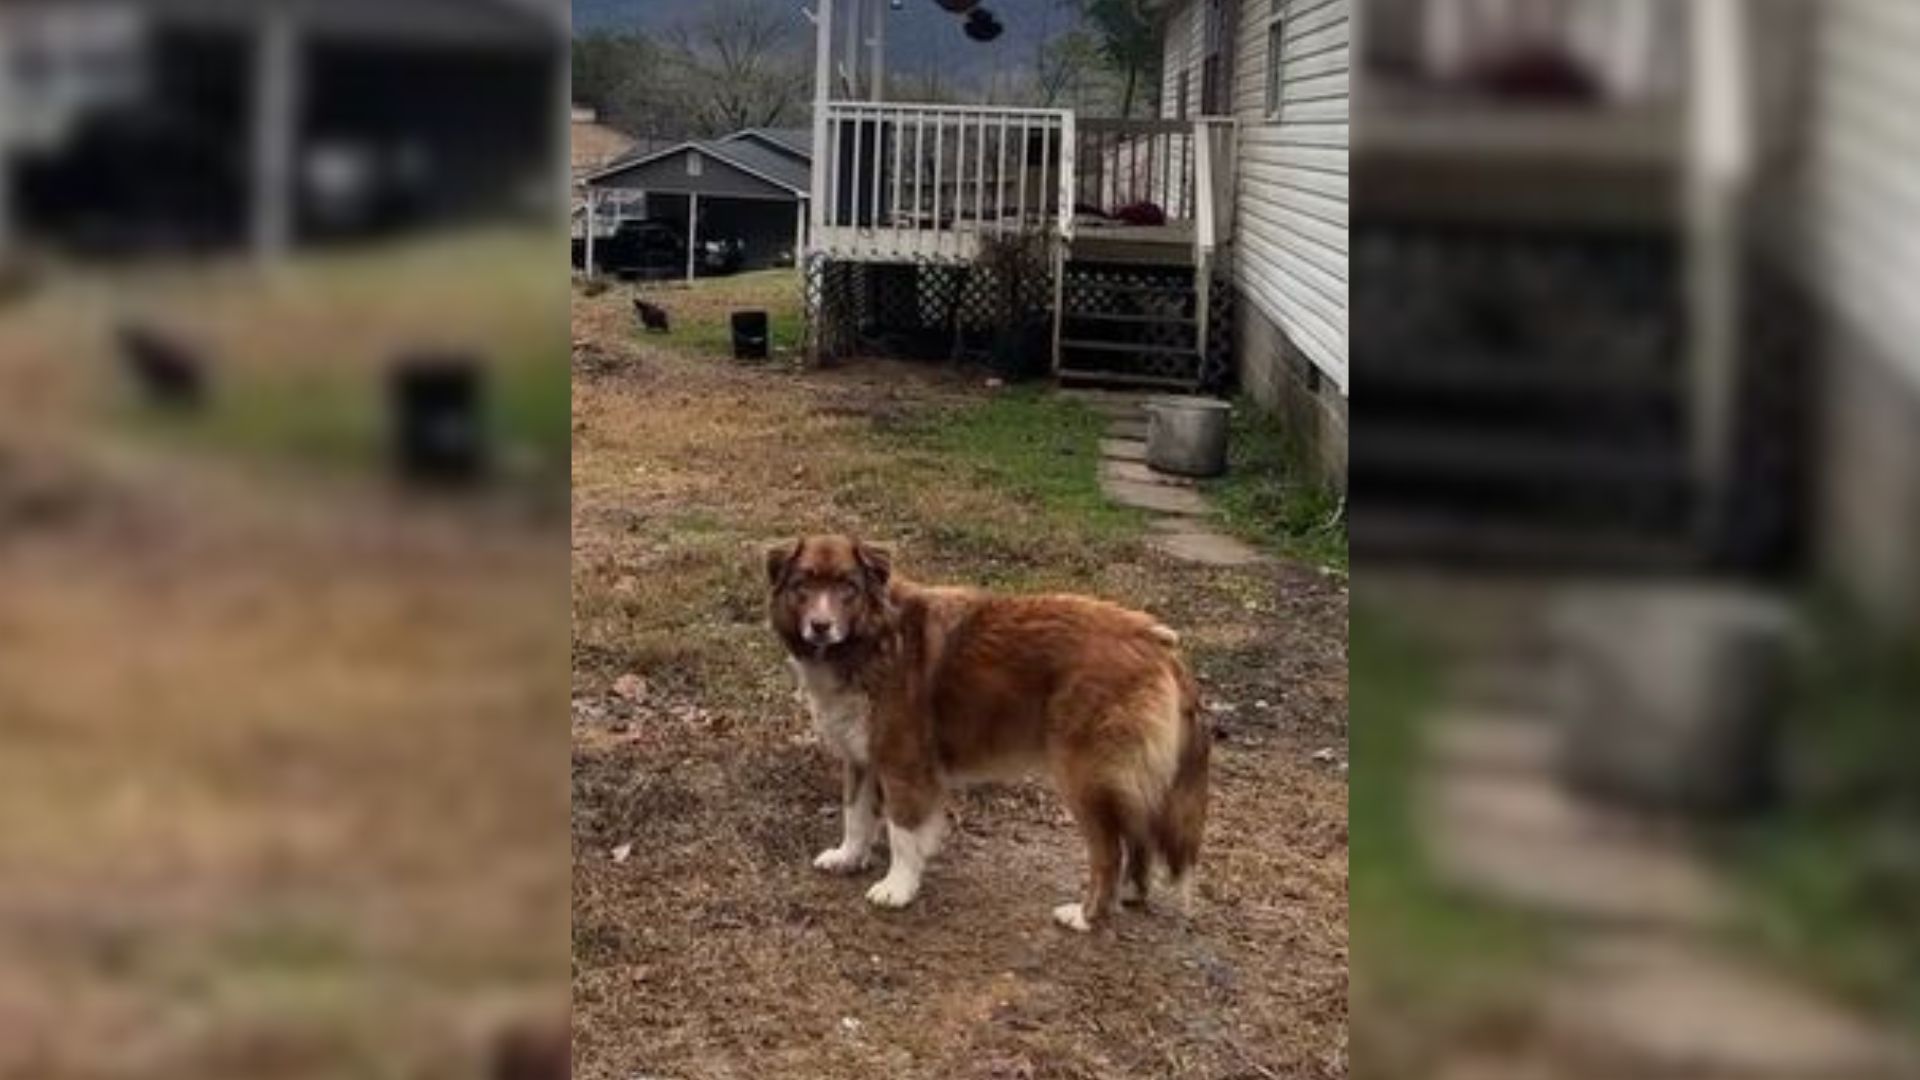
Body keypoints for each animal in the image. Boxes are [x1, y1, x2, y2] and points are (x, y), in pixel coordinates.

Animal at [768, 534, 1205, 930]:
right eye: (803, 585)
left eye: (848, 587)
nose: (820, 626)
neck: (873, 640)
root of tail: (1157, 641)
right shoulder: (861, 758)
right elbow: (855, 815)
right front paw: (847, 858)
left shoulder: (902, 765)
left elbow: (901, 831)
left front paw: (898, 887)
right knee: (1139, 834)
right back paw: (1129, 894)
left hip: (1084, 777)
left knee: (1109, 854)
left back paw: (1087, 916)